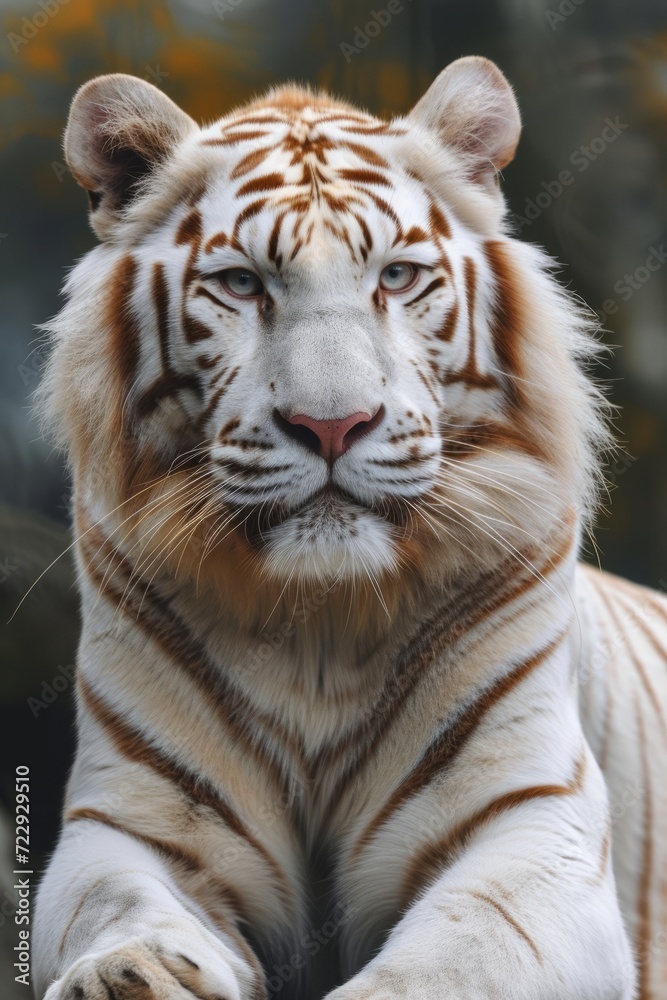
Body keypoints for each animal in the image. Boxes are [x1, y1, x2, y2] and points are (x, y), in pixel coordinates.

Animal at [32, 56, 667, 1000]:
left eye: (396, 278)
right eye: (241, 284)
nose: (331, 426)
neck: (320, 625)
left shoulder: (528, 826)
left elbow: (452, 956)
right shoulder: (130, 822)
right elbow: (117, 904)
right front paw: (131, 973)